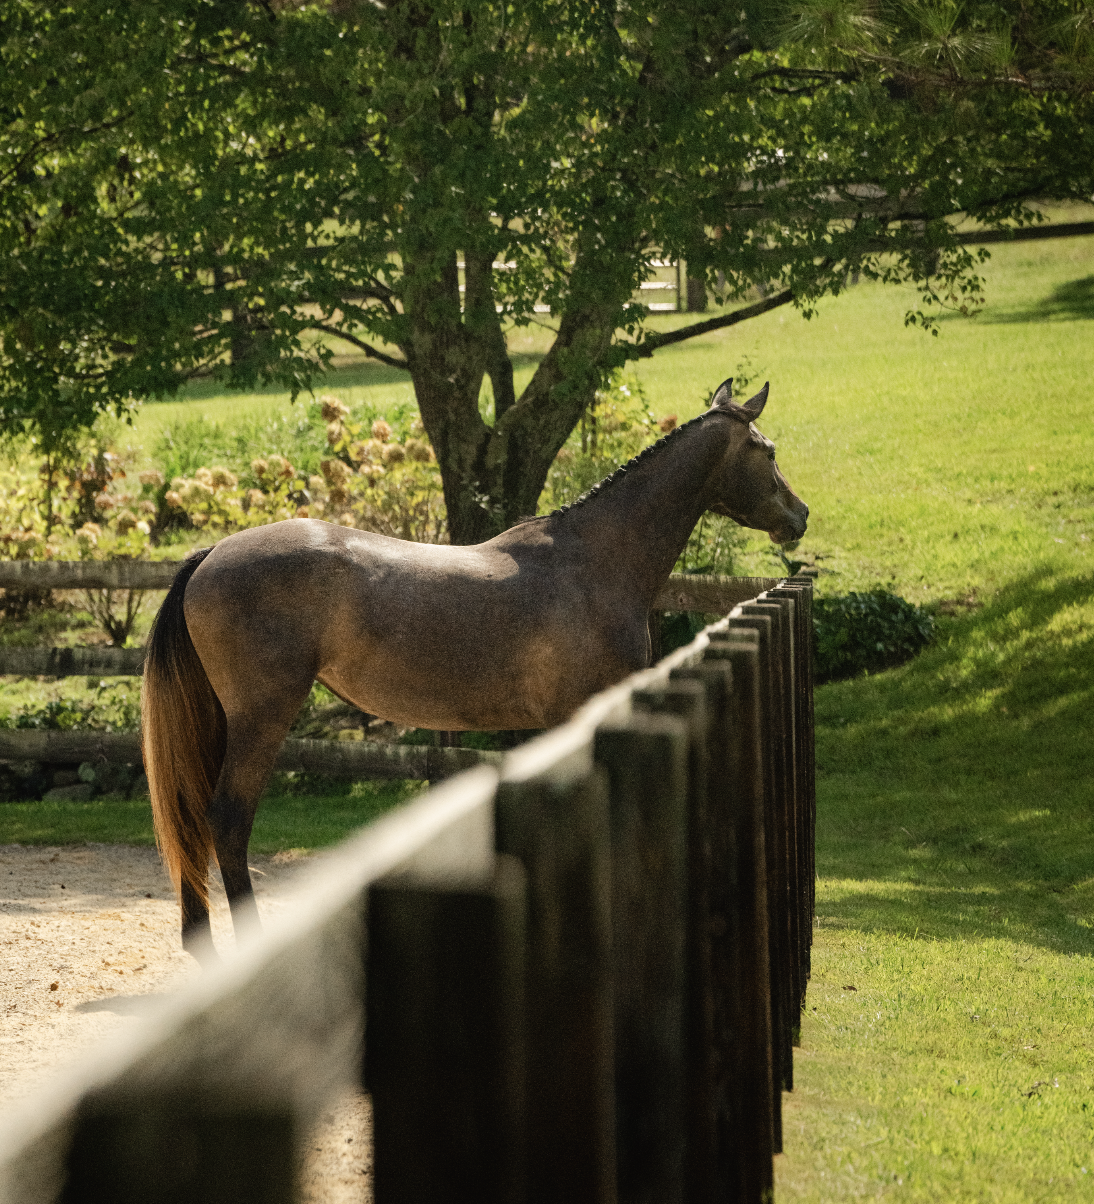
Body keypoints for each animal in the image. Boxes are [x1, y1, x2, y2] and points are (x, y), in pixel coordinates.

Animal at [141, 376, 808, 959]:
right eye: (767, 449)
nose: (798, 515)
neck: (591, 563)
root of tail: (210, 555)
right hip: (263, 718)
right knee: (228, 820)